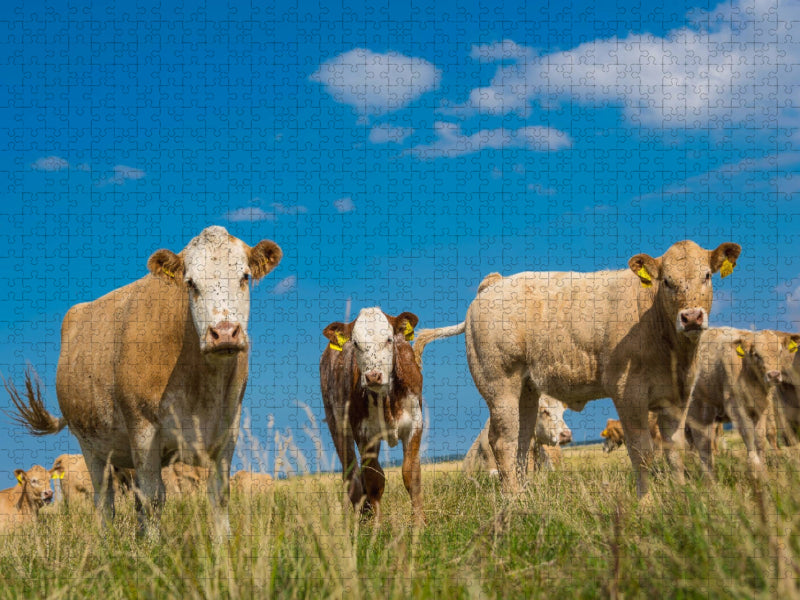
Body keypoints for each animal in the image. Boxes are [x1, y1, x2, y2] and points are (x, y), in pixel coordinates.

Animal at [6, 226, 282, 536]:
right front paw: (152, 545)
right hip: (92, 447)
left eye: (244, 277)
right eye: (191, 283)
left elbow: (219, 496)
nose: (224, 333)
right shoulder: (143, 429)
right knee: (105, 501)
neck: (201, 385)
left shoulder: (227, 430)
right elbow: (153, 499)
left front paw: (224, 544)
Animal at [320, 307, 424, 522]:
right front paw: (376, 526)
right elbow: (374, 478)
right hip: (337, 428)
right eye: (355, 344)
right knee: (352, 477)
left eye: (389, 339)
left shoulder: (415, 424)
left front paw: (420, 523)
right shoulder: (364, 434)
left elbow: (411, 474)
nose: (373, 376)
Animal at [413, 241, 741, 497]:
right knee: (503, 442)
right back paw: (513, 503)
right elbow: (642, 452)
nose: (691, 317)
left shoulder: (678, 396)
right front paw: (646, 504)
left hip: (527, 391)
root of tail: (493, 284)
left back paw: (526, 498)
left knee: (522, 442)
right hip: (499, 385)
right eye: (667, 282)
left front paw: (682, 498)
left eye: (707, 276)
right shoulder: (628, 393)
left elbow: (675, 452)